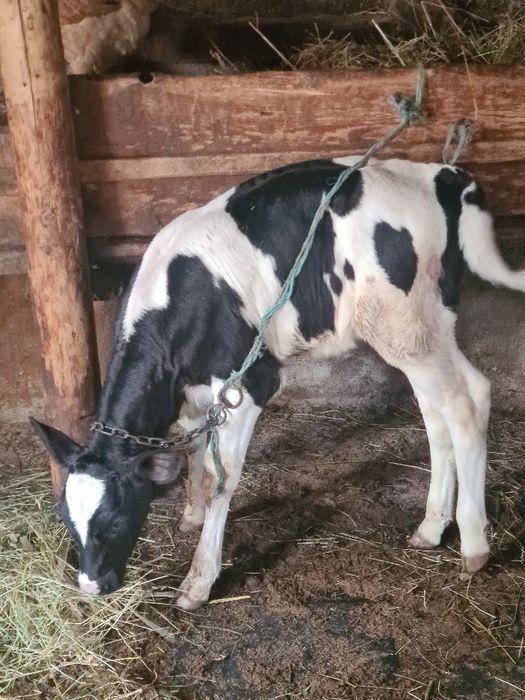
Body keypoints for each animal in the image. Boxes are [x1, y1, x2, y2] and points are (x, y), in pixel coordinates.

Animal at [31, 157, 525, 610]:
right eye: (66, 521)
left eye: (114, 520)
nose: (90, 585)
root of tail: (438, 174)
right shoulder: (192, 394)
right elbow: (193, 448)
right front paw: (191, 515)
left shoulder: (249, 383)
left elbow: (220, 475)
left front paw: (198, 581)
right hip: (424, 327)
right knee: (449, 406)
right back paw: (431, 526)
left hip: (404, 328)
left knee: (461, 406)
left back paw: (473, 544)